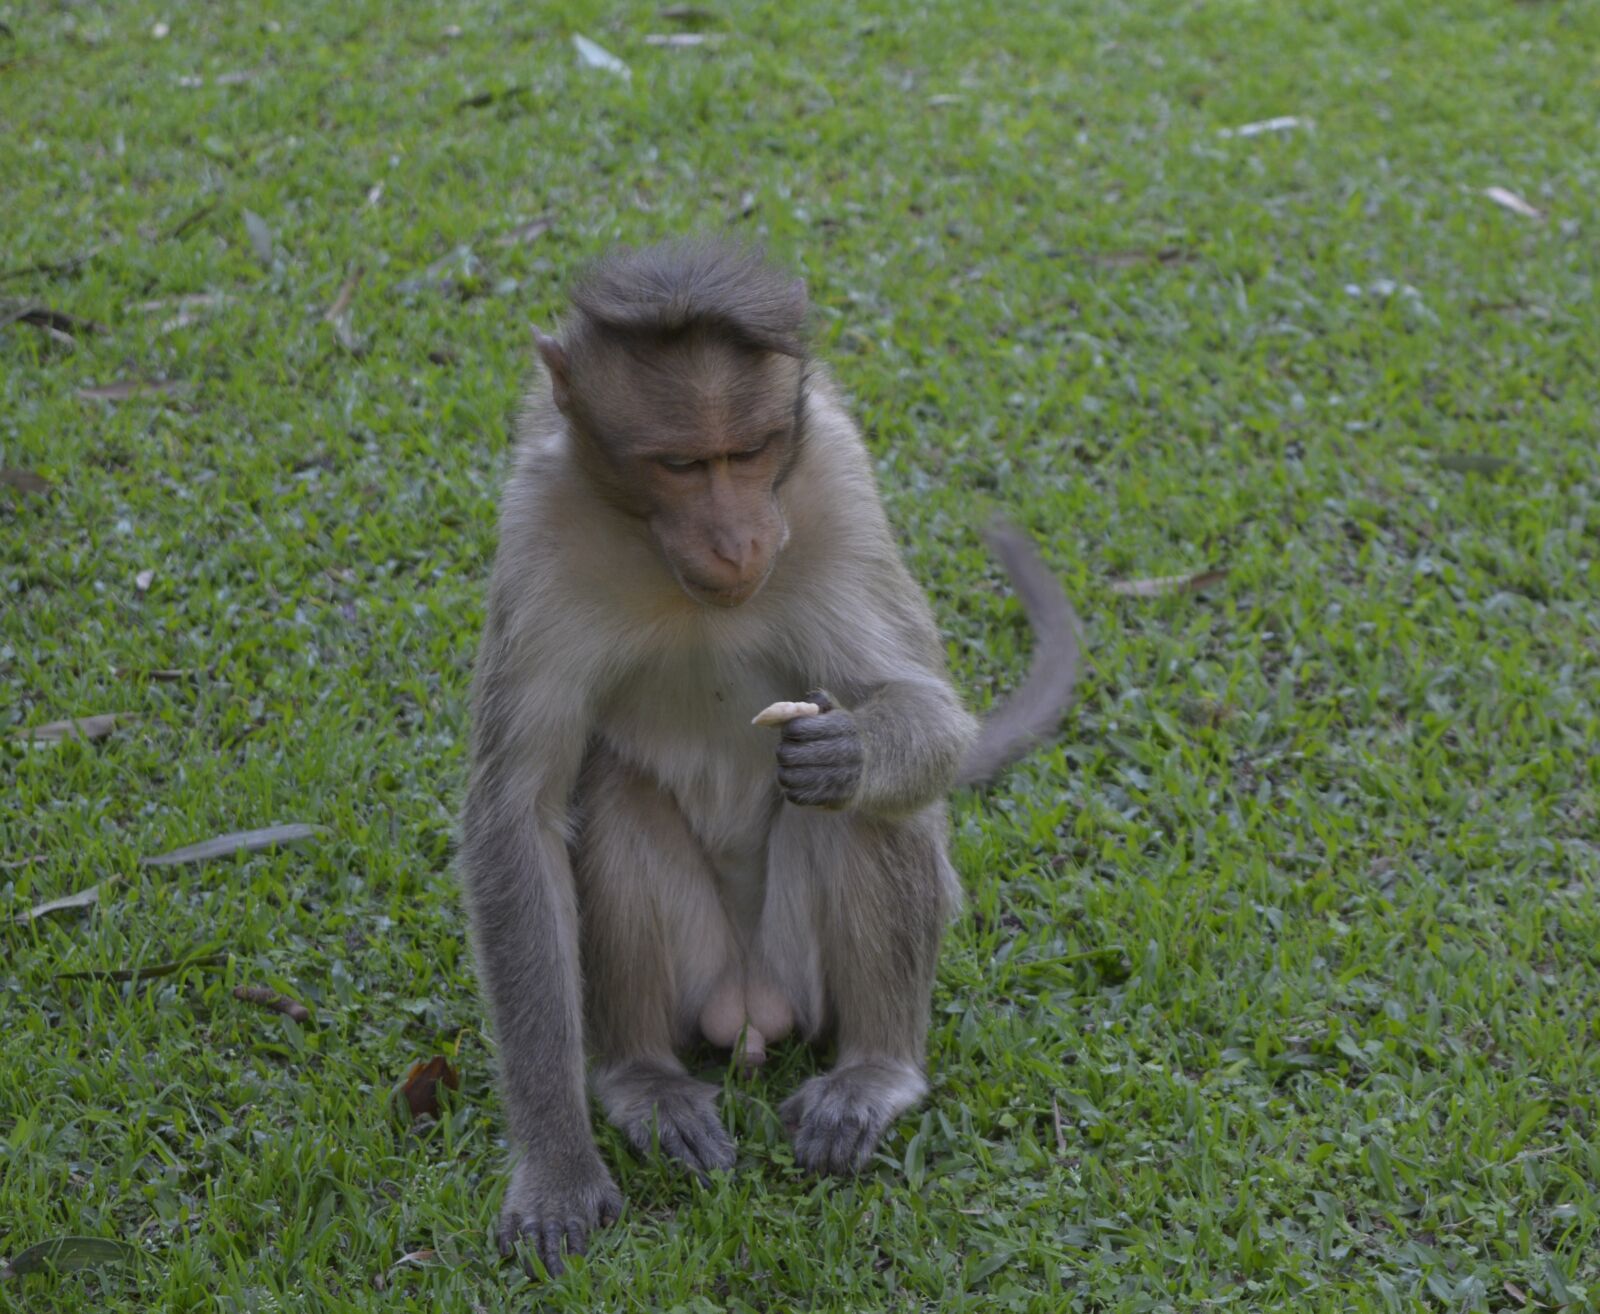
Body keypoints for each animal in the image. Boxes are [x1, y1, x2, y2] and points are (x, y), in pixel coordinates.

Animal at [458, 239, 1082, 1278]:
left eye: (748, 452)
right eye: (681, 463)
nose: (739, 537)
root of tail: (751, 1007)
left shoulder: (838, 481)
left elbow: (924, 711)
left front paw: (852, 751)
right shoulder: (538, 525)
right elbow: (518, 813)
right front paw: (556, 1164)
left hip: (802, 971)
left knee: (874, 814)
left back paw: (874, 1070)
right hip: (704, 973)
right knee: (610, 788)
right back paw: (644, 1080)